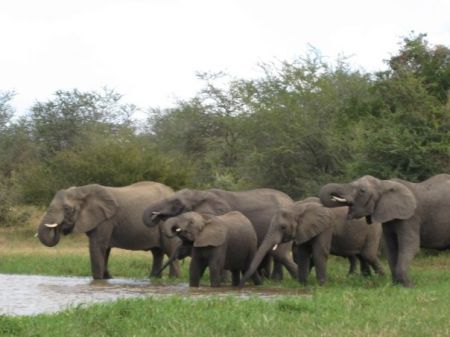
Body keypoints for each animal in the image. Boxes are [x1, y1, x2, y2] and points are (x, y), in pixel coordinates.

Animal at [37, 181, 181, 278]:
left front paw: (98, 280)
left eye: (67, 209)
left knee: (170, 251)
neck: (81, 190)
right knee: (157, 253)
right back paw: (154, 278)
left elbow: (97, 246)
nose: (59, 227)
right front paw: (107, 278)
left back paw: (173, 279)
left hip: (168, 222)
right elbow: (105, 249)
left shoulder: (105, 220)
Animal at [142, 188, 298, 280]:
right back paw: (272, 280)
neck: (202, 193)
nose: (154, 215)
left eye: (176, 203)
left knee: (279, 254)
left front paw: (224, 281)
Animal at [241, 197, 384, 286]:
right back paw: (366, 278)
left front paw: (321, 284)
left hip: (373, 230)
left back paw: (383, 279)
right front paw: (302, 283)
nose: (241, 285)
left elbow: (319, 252)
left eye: (283, 227)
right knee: (362, 256)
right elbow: (302, 253)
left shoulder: (326, 226)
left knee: (368, 255)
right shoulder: (304, 230)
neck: (298, 207)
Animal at [318, 173, 450, 286]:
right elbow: (391, 248)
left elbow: (410, 247)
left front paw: (408, 286)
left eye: (362, 191)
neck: (383, 183)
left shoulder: (411, 217)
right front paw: (396, 285)